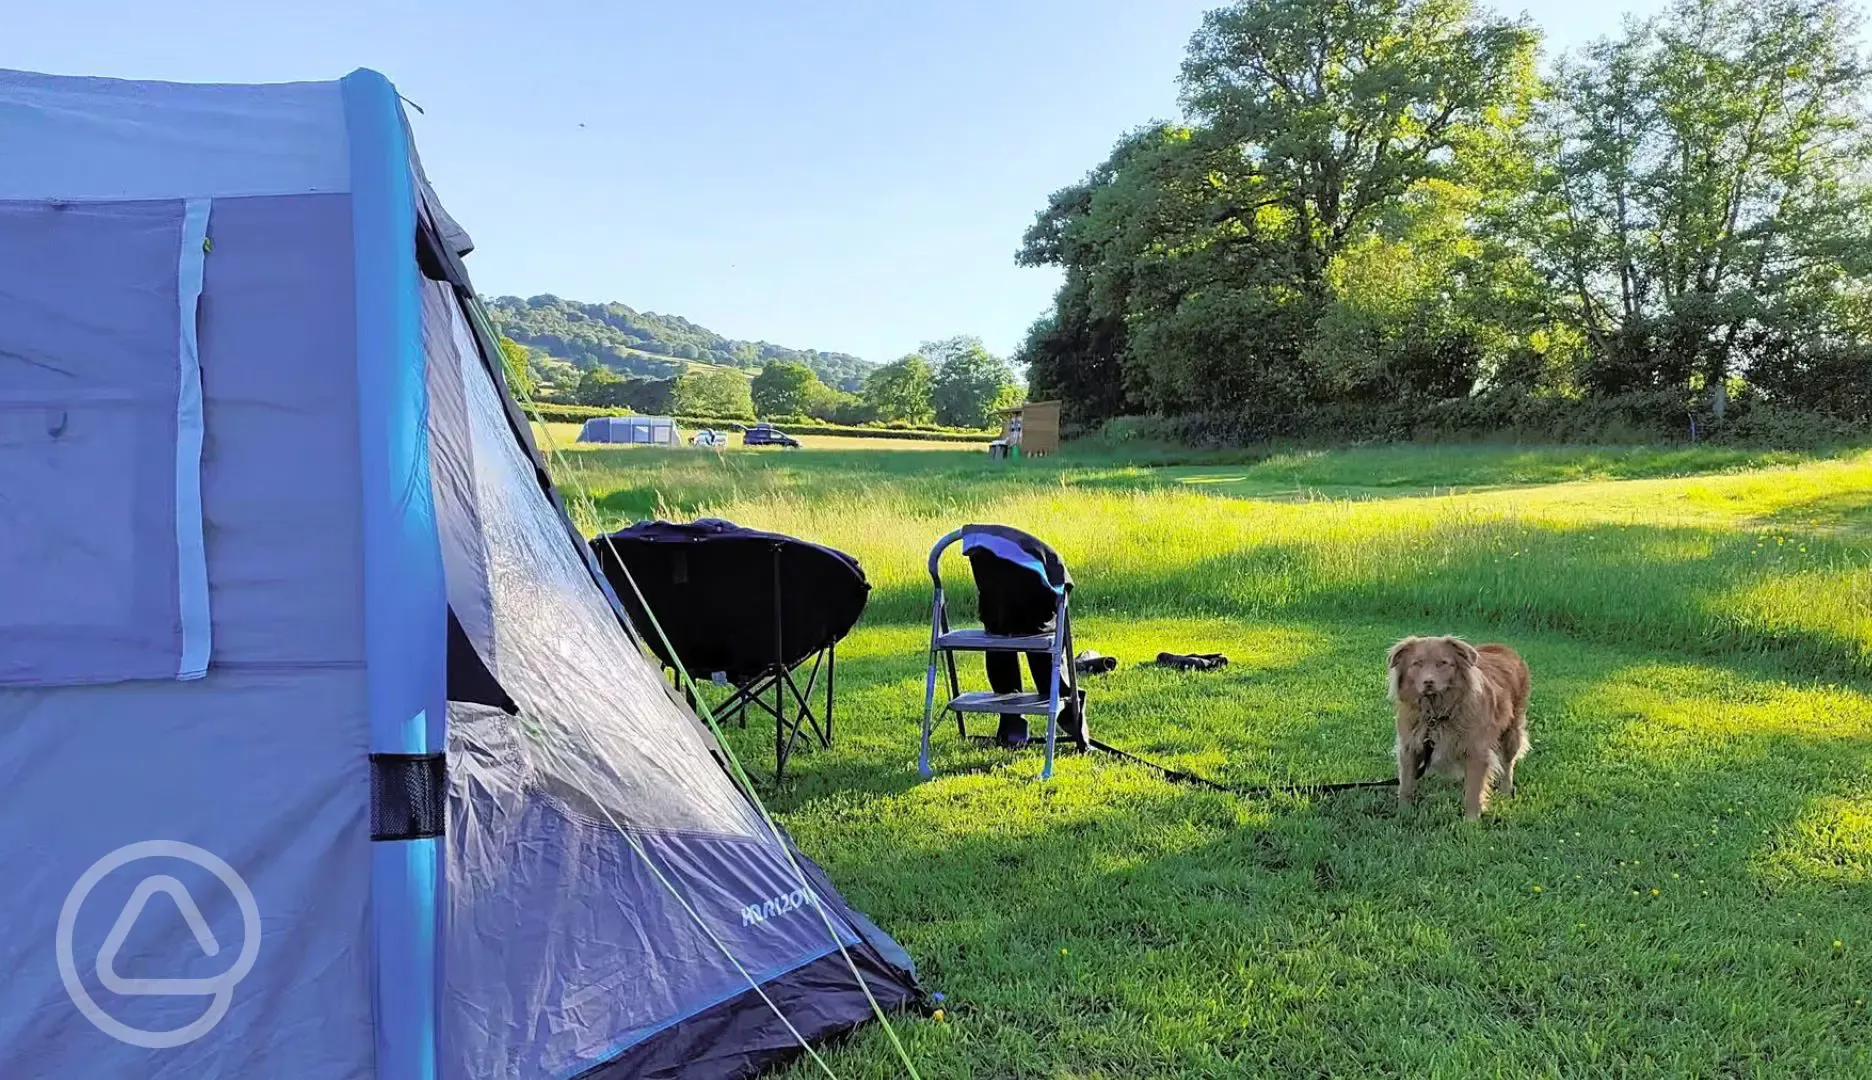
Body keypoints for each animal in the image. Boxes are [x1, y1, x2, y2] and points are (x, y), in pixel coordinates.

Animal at [1385, 632, 1527, 816]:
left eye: (1443, 663)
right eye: (1417, 663)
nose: (1428, 682)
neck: (1437, 714)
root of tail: (1502, 647)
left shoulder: (1477, 752)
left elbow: (1474, 791)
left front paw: (1471, 820)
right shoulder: (1410, 747)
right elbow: (1406, 786)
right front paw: (1403, 814)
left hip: (1511, 732)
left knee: (1508, 763)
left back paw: (1505, 791)